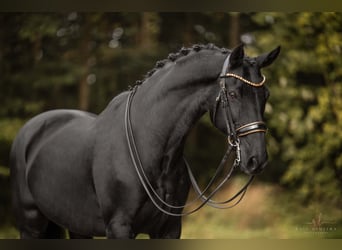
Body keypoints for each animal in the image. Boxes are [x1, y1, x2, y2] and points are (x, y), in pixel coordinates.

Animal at [9, 43, 280, 238]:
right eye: (233, 94)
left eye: (265, 95)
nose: (257, 159)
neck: (149, 146)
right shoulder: (119, 227)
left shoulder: (170, 229)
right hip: (31, 225)